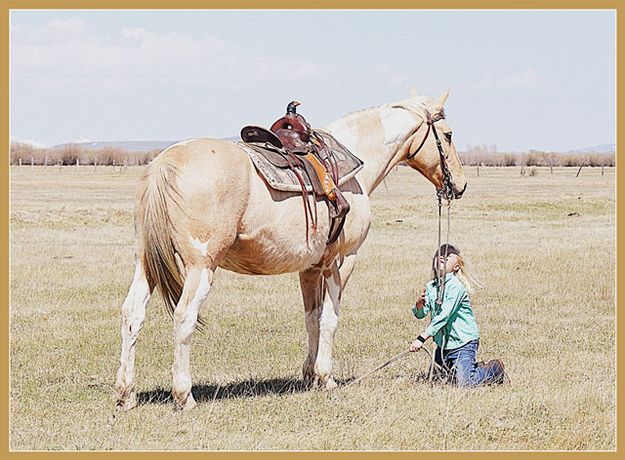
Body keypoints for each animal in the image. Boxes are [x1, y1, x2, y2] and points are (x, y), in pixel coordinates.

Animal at [116, 89, 468, 410]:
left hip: (145, 265)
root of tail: (164, 162)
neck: (357, 163)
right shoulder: (341, 262)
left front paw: (309, 375)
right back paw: (183, 395)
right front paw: (326, 377)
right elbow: (330, 319)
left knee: (133, 314)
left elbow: (312, 318)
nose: (460, 185)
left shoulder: (310, 267)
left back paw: (126, 394)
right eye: (449, 135)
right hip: (201, 267)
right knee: (184, 318)